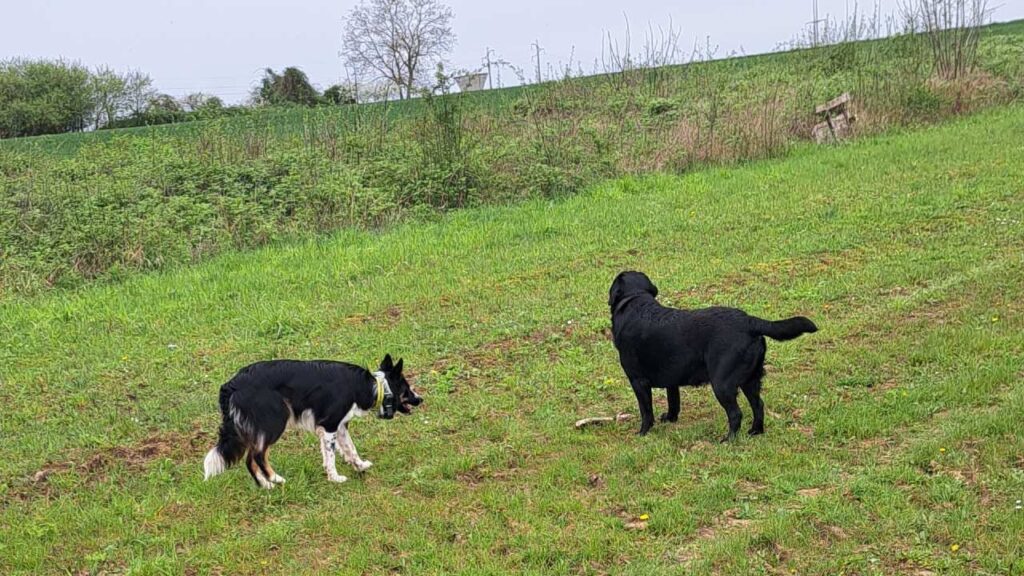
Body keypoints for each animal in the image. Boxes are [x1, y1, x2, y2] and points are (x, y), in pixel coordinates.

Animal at [203, 352, 419, 485]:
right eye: (407, 389)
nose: (421, 399)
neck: (372, 386)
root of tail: (232, 383)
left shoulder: (340, 426)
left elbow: (349, 449)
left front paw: (359, 466)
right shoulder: (330, 425)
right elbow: (331, 456)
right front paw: (335, 478)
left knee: (249, 459)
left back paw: (265, 485)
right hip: (274, 421)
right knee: (257, 455)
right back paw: (276, 479)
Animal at [606, 270, 815, 436]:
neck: (636, 300)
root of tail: (749, 321)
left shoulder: (638, 380)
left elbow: (646, 411)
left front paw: (642, 433)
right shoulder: (672, 378)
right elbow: (673, 401)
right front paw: (670, 418)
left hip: (722, 383)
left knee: (736, 414)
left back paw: (728, 440)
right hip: (750, 380)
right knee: (758, 406)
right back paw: (755, 432)